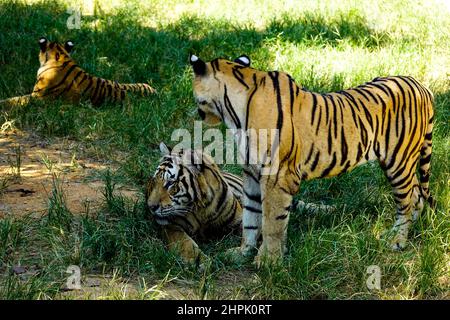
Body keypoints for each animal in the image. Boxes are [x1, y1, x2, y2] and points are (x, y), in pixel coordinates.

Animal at [189, 53, 436, 266]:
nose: (197, 114)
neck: (233, 113)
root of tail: (421, 86)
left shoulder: (277, 176)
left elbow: (271, 222)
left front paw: (268, 261)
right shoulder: (251, 173)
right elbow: (250, 218)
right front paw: (243, 253)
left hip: (398, 161)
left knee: (405, 201)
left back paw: (397, 239)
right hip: (401, 163)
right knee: (415, 194)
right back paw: (412, 227)